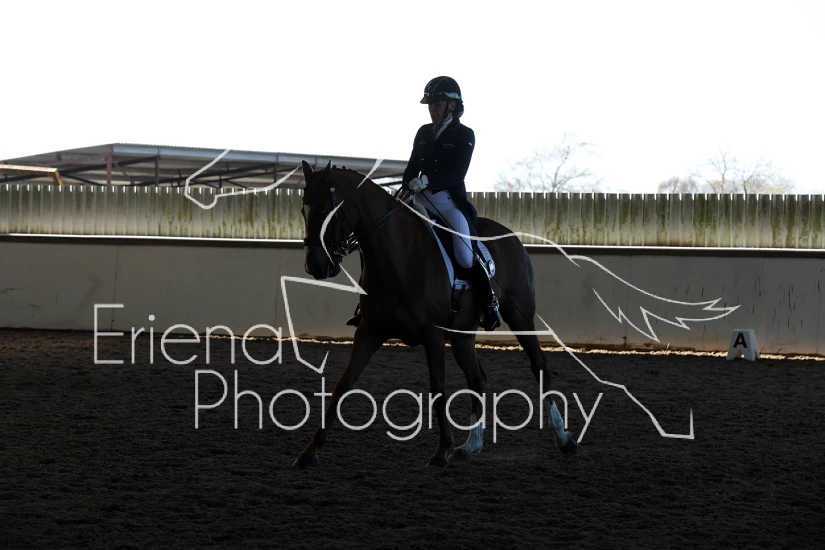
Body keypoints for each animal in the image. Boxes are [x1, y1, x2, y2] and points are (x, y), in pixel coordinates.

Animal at [294, 160, 577, 468]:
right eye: (304, 209)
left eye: (327, 211)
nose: (315, 266)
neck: (398, 257)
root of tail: (512, 237)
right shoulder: (369, 331)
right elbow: (343, 385)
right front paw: (310, 451)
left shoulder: (433, 335)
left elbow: (438, 389)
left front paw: (441, 451)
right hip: (463, 335)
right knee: (477, 379)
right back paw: (471, 445)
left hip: (520, 317)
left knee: (540, 367)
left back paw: (564, 439)